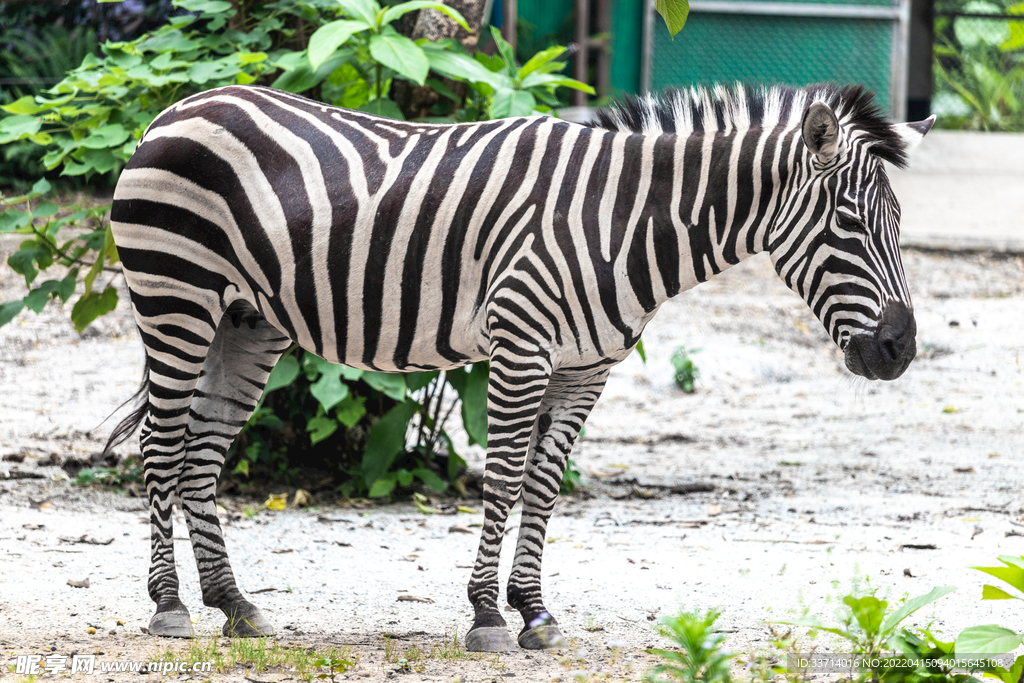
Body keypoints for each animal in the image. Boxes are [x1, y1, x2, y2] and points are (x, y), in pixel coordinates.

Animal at [103, 82, 929, 655]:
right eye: (850, 224)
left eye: (898, 226)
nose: (901, 350)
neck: (625, 221)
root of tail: (177, 108)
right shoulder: (522, 343)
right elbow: (501, 479)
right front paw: (487, 614)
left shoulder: (586, 368)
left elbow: (543, 487)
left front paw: (534, 609)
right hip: (176, 296)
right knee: (161, 447)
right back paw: (169, 605)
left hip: (247, 323)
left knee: (202, 455)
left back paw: (234, 603)